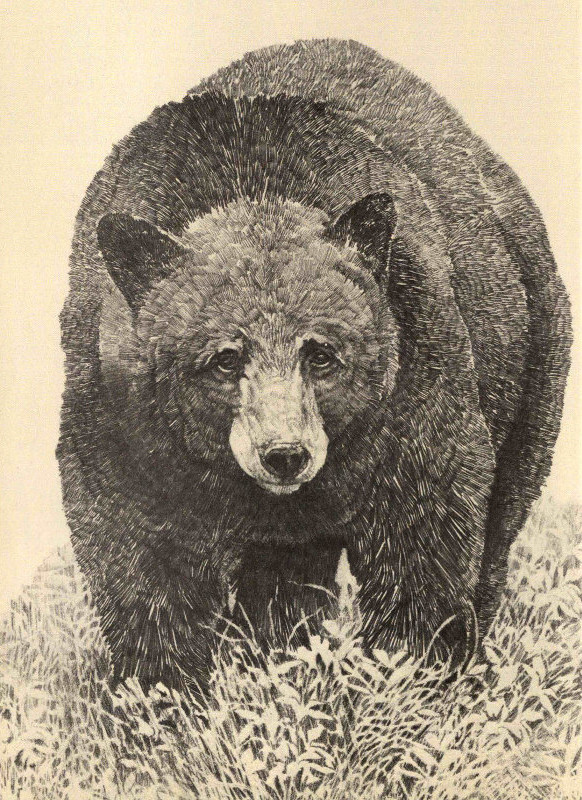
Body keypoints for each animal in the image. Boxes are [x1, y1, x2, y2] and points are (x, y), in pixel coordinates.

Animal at [58, 39, 572, 691]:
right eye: (224, 359)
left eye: (321, 353)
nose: (285, 454)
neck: (247, 173)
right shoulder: (120, 409)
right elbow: (139, 548)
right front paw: (164, 689)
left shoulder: (416, 367)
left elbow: (426, 521)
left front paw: (412, 672)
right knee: (285, 573)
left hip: (532, 347)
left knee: (504, 506)